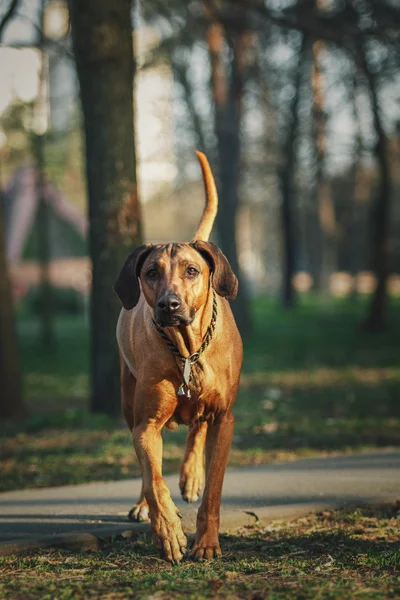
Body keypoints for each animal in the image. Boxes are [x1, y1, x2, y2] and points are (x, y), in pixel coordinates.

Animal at [114, 150, 242, 564]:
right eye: (151, 272)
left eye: (191, 271)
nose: (169, 305)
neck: (187, 351)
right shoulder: (146, 425)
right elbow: (154, 479)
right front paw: (169, 530)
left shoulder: (225, 419)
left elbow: (214, 488)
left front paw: (207, 541)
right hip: (128, 399)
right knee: (146, 467)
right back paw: (148, 508)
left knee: (196, 429)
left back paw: (191, 475)